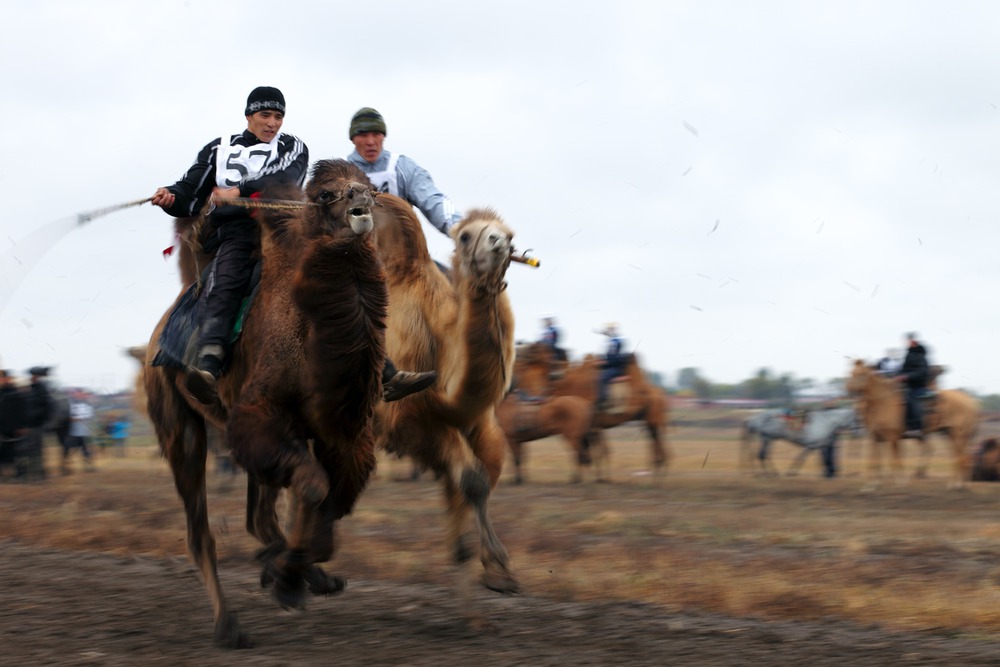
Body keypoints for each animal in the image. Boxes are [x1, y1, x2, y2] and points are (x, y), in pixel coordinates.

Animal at [145, 158, 386, 648]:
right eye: (325, 195)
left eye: (370, 188)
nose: (361, 206)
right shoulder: (258, 416)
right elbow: (314, 489)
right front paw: (288, 581)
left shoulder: (344, 435)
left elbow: (328, 505)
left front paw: (298, 573)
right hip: (179, 427)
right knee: (200, 531)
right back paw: (229, 626)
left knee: (259, 512)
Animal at [848, 360, 980, 490]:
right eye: (852, 373)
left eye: (863, 374)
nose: (850, 389)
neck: (884, 402)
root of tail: (970, 400)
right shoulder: (875, 437)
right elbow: (874, 461)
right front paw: (872, 485)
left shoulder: (893, 437)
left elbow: (894, 460)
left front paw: (899, 483)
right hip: (950, 434)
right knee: (959, 457)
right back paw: (957, 484)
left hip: (958, 434)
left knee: (961, 458)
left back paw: (957, 485)